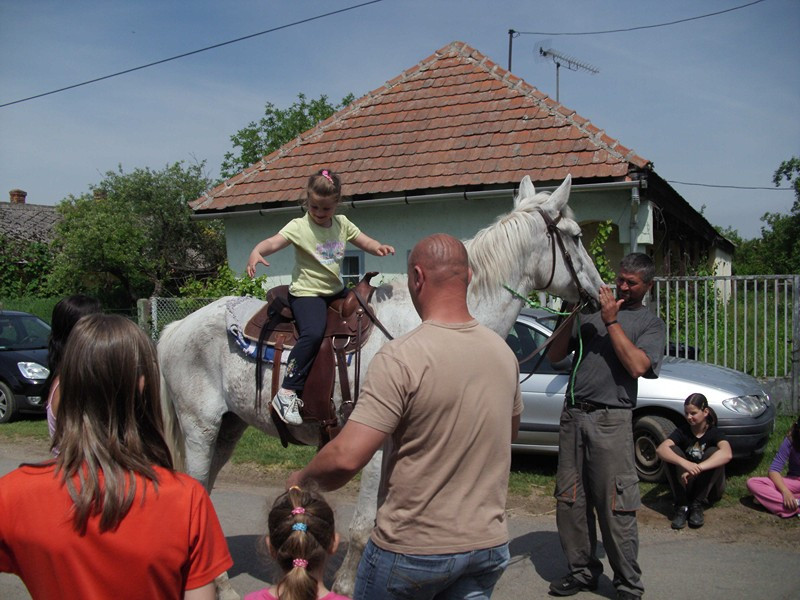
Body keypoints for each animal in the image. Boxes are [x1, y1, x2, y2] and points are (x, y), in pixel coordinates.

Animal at [159, 173, 604, 596]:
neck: (428, 327)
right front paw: (345, 585)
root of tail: (176, 327)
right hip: (201, 429)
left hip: (228, 429)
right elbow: (363, 526)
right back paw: (223, 586)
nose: (600, 294)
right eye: (577, 236)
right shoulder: (373, 443)